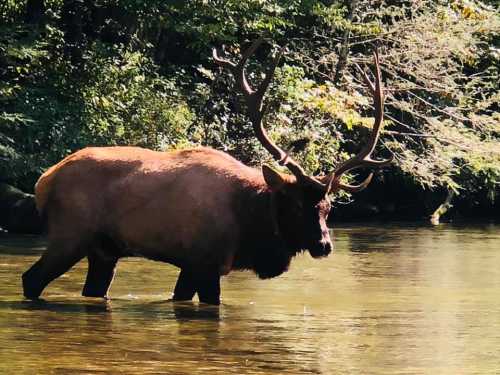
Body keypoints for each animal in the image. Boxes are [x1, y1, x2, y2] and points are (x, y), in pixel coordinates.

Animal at [22, 39, 390, 306]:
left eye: (327, 208)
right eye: (297, 204)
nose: (324, 245)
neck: (248, 223)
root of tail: (42, 181)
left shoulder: (192, 265)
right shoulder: (205, 262)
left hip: (104, 250)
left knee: (91, 290)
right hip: (70, 234)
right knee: (31, 279)